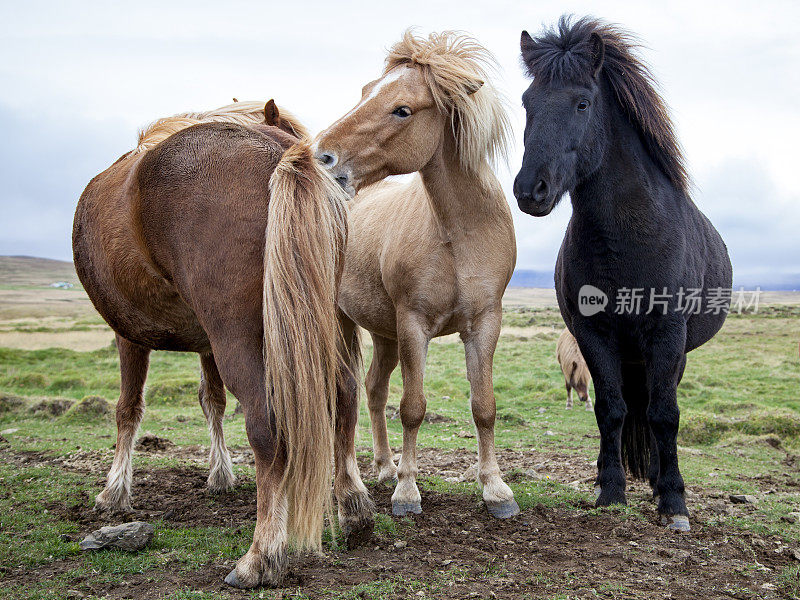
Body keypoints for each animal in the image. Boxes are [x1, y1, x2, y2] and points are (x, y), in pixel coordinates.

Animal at [72, 101, 372, 588]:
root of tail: (280, 154)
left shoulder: (129, 335)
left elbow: (127, 409)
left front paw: (114, 491)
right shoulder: (205, 342)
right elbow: (210, 400)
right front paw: (220, 474)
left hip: (237, 338)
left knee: (268, 426)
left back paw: (261, 556)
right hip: (316, 326)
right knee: (344, 396)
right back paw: (355, 510)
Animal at [312, 31, 520, 520]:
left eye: (402, 109)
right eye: (366, 92)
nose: (322, 156)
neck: (460, 233)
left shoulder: (484, 323)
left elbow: (484, 406)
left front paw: (495, 488)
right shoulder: (413, 325)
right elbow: (412, 407)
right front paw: (407, 492)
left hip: (383, 332)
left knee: (373, 389)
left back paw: (385, 466)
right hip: (345, 323)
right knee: (349, 394)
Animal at [512, 16, 732, 528]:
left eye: (583, 102)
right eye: (527, 103)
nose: (530, 189)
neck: (628, 240)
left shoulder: (667, 334)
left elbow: (664, 415)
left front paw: (673, 500)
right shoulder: (594, 334)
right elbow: (610, 410)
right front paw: (610, 489)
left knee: (656, 406)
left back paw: (656, 480)